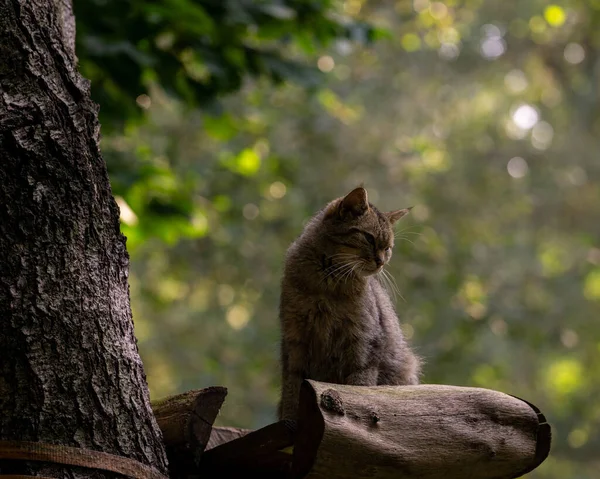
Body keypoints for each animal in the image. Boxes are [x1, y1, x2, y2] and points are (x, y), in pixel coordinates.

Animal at [278, 187, 420, 420]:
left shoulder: (364, 345)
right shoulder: (294, 340)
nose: (381, 262)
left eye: (388, 248)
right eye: (369, 238)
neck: (326, 286)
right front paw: (288, 420)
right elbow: (292, 388)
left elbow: (358, 388)